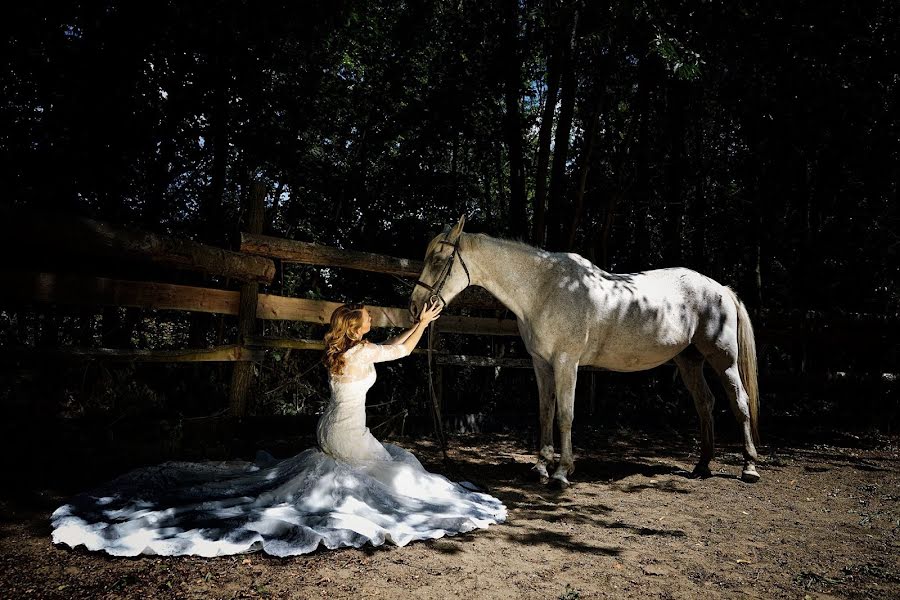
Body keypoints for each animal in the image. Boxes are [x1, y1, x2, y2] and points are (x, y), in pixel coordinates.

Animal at [410, 216, 760, 488]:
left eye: (438, 261)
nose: (416, 306)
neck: (545, 289)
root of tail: (720, 289)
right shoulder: (541, 364)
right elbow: (546, 412)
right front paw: (540, 467)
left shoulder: (566, 363)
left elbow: (565, 415)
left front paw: (562, 473)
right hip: (689, 361)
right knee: (705, 403)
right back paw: (702, 466)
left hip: (723, 361)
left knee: (739, 403)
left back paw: (749, 467)